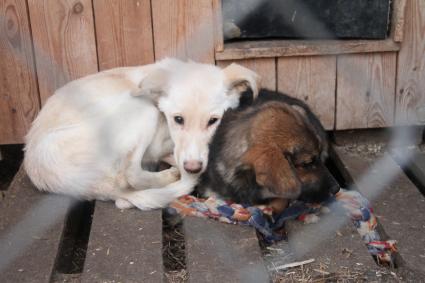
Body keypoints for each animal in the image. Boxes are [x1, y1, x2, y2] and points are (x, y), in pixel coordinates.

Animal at [24, 58, 258, 211]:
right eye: (178, 119)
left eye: (213, 121)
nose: (193, 167)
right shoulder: (158, 140)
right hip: (141, 109)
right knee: (130, 175)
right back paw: (169, 175)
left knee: (124, 195)